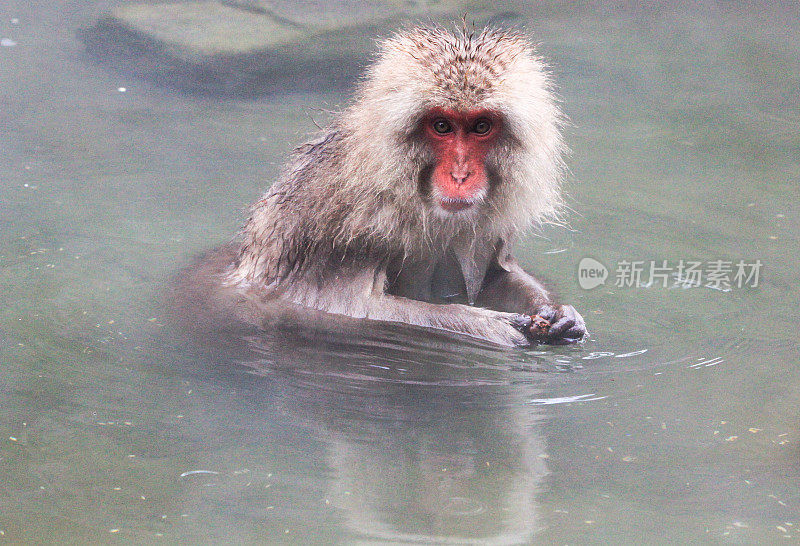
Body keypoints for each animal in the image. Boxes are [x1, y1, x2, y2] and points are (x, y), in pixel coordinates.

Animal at [195, 24, 584, 344]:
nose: (460, 175)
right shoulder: (345, 224)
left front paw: (555, 312)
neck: (405, 190)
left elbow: (496, 274)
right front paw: (488, 325)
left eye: (481, 127)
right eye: (441, 126)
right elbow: (344, 307)